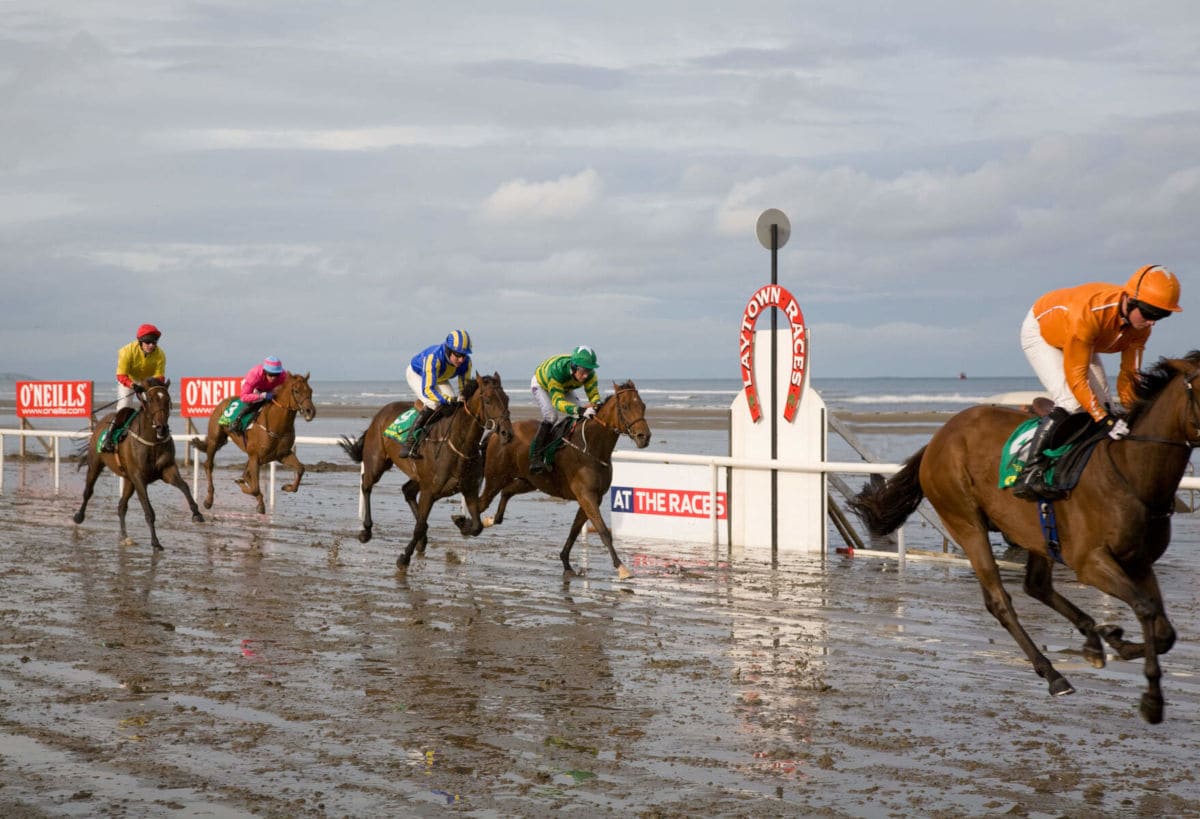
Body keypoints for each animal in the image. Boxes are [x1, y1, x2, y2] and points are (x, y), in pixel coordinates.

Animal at [72, 377, 205, 547]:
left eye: (168, 399)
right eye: (150, 399)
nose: (162, 428)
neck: (152, 441)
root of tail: (101, 423)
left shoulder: (167, 470)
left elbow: (185, 487)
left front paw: (197, 513)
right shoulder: (139, 478)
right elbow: (149, 510)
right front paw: (155, 542)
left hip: (128, 479)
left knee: (121, 506)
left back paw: (124, 536)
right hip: (96, 464)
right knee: (88, 491)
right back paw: (78, 517)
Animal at [192, 372, 316, 513]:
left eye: (310, 390)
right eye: (296, 391)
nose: (310, 411)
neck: (275, 424)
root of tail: (223, 402)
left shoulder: (282, 454)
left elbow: (301, 469)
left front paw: (287, 487)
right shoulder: (255, 456)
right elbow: (255, 488)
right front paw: (243, 486)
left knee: (246, 474)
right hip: (215, 439)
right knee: (209, 465)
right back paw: (208, 500)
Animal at [336, 372, 513, 566]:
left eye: (507, 399)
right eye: (488, 400)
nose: (507, 433)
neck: (458, 446)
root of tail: (380, 414)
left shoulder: (469, 489)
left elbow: (477, 527)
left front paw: (461, 522)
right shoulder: (429, 491)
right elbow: (419, 526)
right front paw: (404, 557)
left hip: (417, 477)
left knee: (407, 490)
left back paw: (422, 540)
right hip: (377, 461)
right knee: (366, 485)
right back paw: (366, 531)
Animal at [463, 379, 652, 576]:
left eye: (643, 405)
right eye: (625, 406)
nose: (644, 436)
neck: (591, 446)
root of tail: (497, 433)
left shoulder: (593, 497)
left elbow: (575, 529)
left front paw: (566, 562)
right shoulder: (587, 496)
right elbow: (603, 531)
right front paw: (622, 568)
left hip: (529, 481)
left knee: (506, 493)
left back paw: (488, 520)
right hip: (496, 478)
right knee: (480, 503)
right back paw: (466, 525)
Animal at [844, 350, 1200, 720]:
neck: (1128, 470)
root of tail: (938, 439)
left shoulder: (1140, 563)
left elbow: (1164, 630)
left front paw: (1121, 643)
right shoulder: (1091, 563)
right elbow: (1146, 609)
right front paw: (1152, 699)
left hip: (1035, 533)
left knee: (1036, 585)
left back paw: (1094, 639)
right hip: (966, 522)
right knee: (1000, 601)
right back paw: (1054, 674)